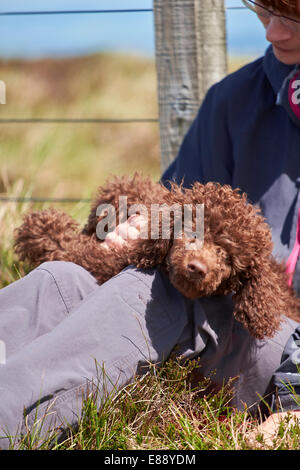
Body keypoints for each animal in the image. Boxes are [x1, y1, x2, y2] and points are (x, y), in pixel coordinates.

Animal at [14, 173, 300, 338]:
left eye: (229, 258)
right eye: (193, 231)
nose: (197, 268)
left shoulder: (106, 261)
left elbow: (71, 250)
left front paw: (43, 227)